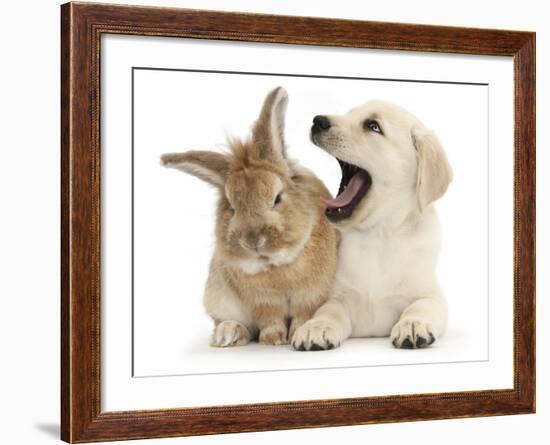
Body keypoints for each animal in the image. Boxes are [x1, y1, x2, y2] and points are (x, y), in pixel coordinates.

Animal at [162, 85, 338, 346]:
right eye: (232, 207)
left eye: (277, 198)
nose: (253, 242)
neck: (277, 265)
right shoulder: (263, 302)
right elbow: (270, 319)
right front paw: (273, 339)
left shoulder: (310, 296)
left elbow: (302, 315)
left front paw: (295, 334)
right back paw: (227, 334)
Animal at [294, 101, 452, 350]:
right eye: (349, 114)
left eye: (373, 126)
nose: (318, 120)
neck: (378, 234)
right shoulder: (338, 296)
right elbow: (328, 311)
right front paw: (316, 327)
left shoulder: (431, 294)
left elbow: (422, 306)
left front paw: (412, 324)